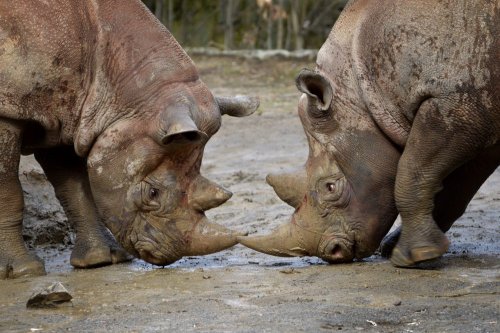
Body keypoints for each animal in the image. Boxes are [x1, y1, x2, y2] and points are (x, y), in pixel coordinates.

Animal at [0, 0, 258, 278]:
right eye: (153, 193)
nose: (166, 255)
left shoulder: (67, 111)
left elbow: (76, 188)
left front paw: (100, 260)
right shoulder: (10, 109)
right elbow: (9, 189)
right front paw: (24, 270)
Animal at [239, 0, 500, 266]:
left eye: (330, 187)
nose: (332, 252)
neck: (361, 95)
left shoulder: (456, 106)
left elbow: (411, 172)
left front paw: (415, 256)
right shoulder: (478, 117)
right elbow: (454, 189)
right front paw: (403, 247)